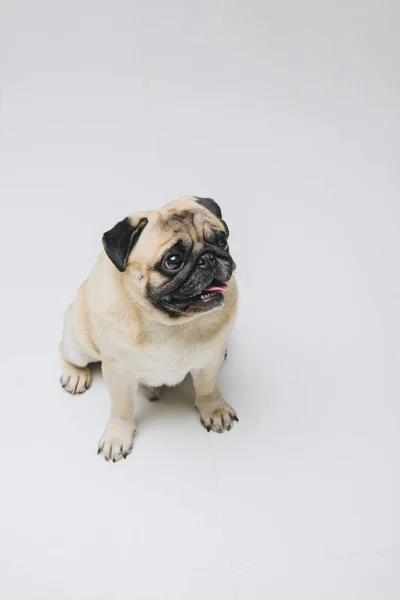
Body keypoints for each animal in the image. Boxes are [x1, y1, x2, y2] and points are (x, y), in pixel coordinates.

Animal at [59, 195, 238, 462]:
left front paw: (214, 409)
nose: (208, 258)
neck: (168, 324)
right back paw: (75, 375)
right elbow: (122, 409)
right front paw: (117, 437)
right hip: (79, 344)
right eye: (172, 261)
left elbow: (207, 388)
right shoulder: (118, 373)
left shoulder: (208, 363)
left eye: (222, 242)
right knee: (67, 352)